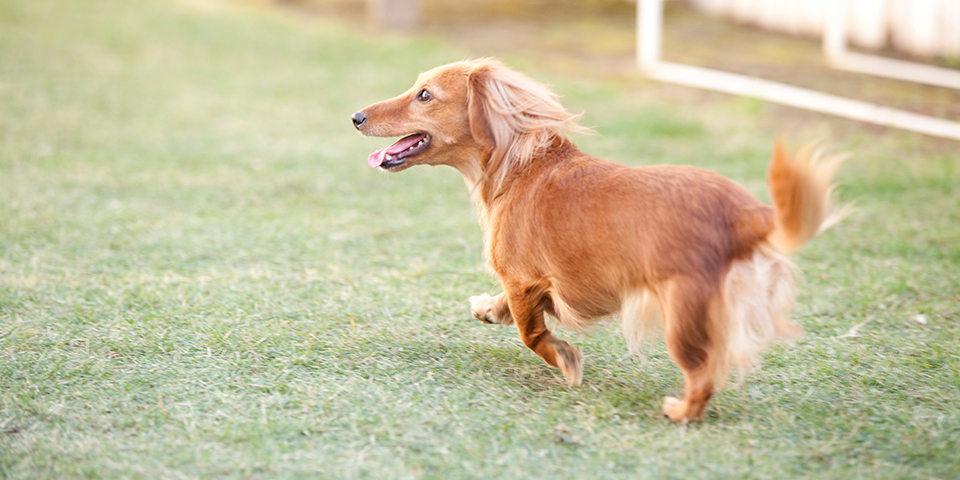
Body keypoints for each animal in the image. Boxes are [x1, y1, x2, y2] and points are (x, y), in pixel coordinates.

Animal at [348, 59, 844, 420]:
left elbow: (532, 334)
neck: (520, 167)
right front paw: (489, 308)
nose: (355, 116)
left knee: (703, 376)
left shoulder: (525, 280)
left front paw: (565, 358)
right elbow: (510, 310)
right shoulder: (528, 284)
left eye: (425, 95)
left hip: (682, 314)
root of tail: (745, 211)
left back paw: (681, 411)